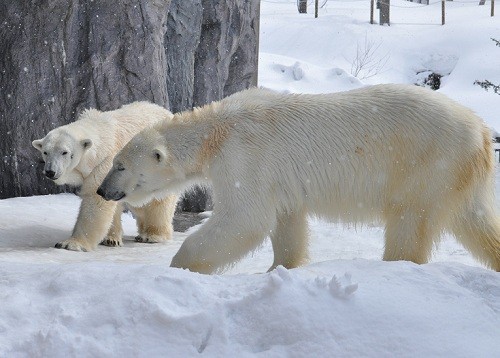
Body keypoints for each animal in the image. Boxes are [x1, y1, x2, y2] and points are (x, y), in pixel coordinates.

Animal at [32, 100, 178, 252]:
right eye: (45, 152)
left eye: (64, 152)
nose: (50, 171)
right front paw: (111, 239)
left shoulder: (106, 163)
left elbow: (96, 200)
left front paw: (70, 243)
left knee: (159, 202)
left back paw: (152, 235)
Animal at [95, 84, 500, 274]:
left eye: (120, 165)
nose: (102, 189)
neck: (216, 132)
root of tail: (482, 133)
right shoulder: (278, 178)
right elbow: (286, 219)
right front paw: (282, 268)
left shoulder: (245, 157)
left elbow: (245, 219)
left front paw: (180, 266)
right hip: (457, 177)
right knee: (477, 223)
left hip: (426, 164)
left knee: (409, 220)